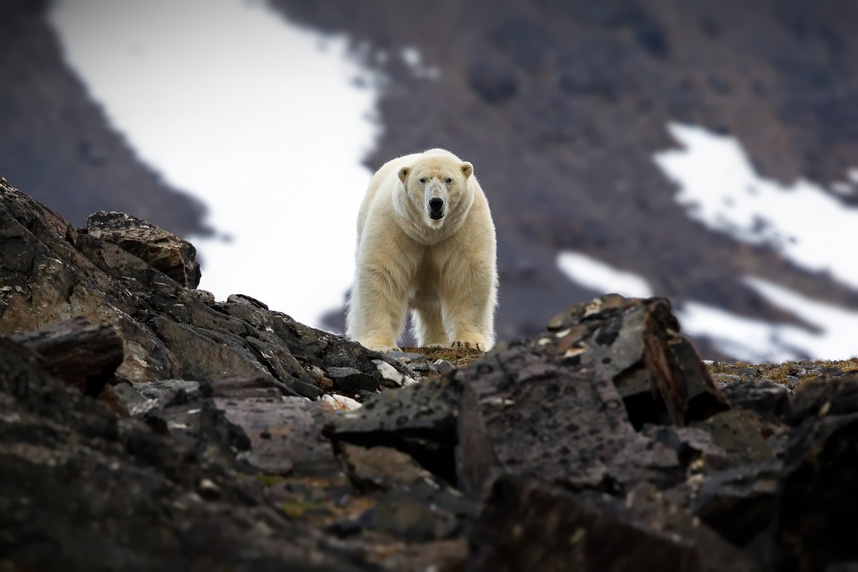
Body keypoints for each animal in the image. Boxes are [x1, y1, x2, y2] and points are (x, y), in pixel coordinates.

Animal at [346, 147, 498, 354]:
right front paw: (381, 345)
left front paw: (468, 341)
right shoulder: (395, 227)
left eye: (449, 179)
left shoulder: (465, 226)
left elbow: (467, 276)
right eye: (422, 179)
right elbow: (382, 275)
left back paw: (438, 342)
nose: (436, 202)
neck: (430, 232)